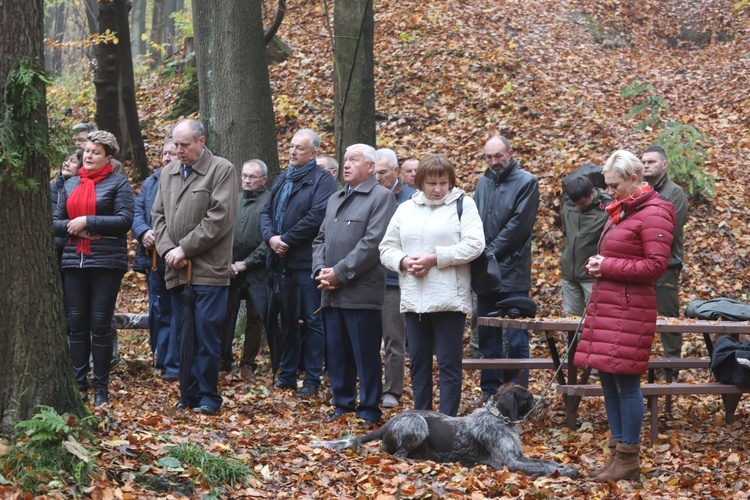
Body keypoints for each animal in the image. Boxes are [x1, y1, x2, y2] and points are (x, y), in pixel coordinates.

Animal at [312, 384, 580, 478]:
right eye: (529, 397)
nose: (548, 403)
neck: (500, 421)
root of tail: (387, 424)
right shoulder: (508, 462)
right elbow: (543, 468)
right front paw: (565, 472)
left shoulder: (519, 456)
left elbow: (545, 462)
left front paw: (566, 467)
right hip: (417, 423)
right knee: (396, 455)